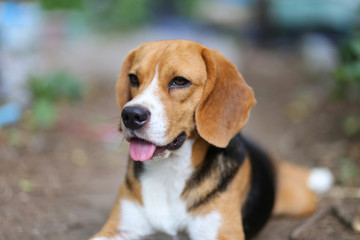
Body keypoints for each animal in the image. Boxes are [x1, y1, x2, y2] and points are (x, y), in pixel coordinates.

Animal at [91, 39, 334, 240]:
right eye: (133, 79)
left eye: (179, 81)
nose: (131, 115)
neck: (171, 169)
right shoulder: (116, 229)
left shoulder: (221, 234)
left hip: (299, 200)